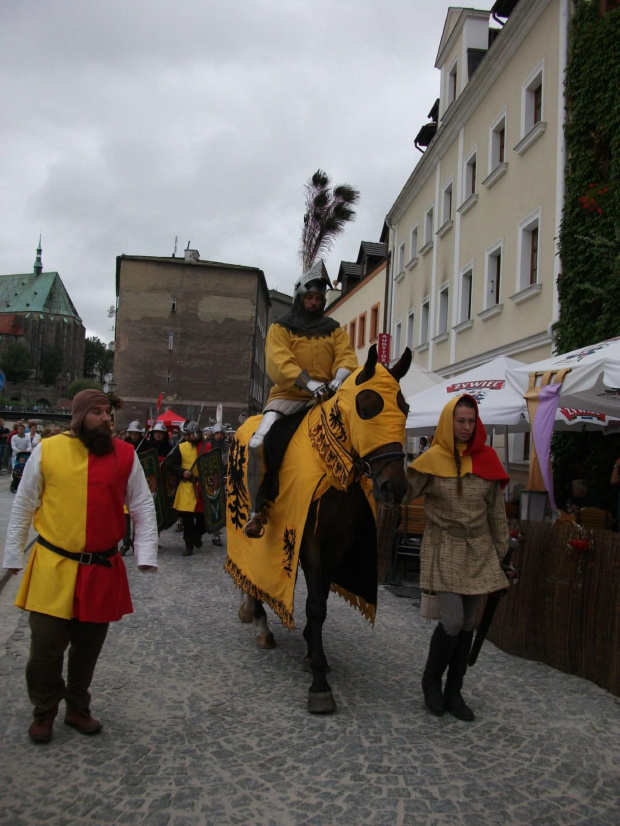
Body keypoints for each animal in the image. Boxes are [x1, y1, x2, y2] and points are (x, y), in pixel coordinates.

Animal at [224, 344, 412, 712]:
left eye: (406, 408)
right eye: (366, 407)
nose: (394, 487)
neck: (330, 465)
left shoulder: (338, 542)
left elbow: (321, 597)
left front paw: (313, 650)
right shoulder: (309, 540)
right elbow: (314, 604)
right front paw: (319, 682)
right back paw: (261, 621)